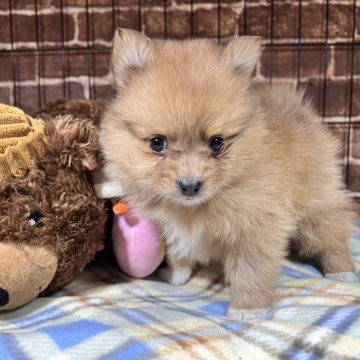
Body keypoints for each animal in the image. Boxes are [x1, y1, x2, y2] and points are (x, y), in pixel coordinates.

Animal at [100, 29, 356, 320]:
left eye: (217, 143)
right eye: (157, 143)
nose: (190, 186)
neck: (191, 210)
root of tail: (298, 110)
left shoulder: (256, 227)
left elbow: (251, 270)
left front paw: (249, 308)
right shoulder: (169, 228)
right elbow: (179, 256)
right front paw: (176, 278)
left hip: (318, 206)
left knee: (331, 235)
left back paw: (341, 271)